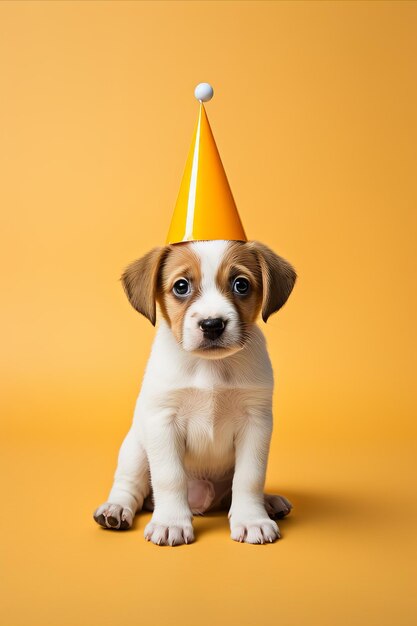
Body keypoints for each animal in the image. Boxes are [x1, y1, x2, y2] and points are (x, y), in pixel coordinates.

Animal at [93, 238, 296, 540]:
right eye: (181, 286)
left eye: (241, 284)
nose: (212, 325)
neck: (209, 367)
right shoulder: (163, 421)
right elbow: (169, 477)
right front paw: (171, 522)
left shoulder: (256, 423)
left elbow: (249, 477)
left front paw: (252, 519)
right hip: (136, 449)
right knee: (130, 487)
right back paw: (115, 509)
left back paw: (268, 502)